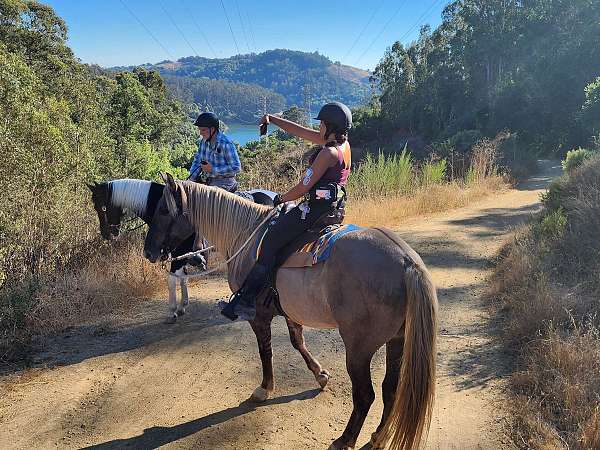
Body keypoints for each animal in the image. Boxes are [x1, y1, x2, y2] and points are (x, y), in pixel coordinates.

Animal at [88, 178, 276, 324]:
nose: (106, 233)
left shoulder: (180, 254)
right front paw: (183, 305)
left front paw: (172, 311)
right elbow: (183, 278)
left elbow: (172, 279)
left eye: (102, 207)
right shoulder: (178, 254)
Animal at [144, 173, 436, 450]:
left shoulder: (259, 316)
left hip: (359, 348)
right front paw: (320, 375)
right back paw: (378, 436)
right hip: (397, 340)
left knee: (365, 395)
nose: (148, 252)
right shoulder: (290, 311)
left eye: (163, 210)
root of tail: (407, 262)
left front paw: (265, 389)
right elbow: (298, 342)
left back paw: (344, 440)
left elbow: (265, 351)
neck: (247, 235)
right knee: (390, 389)